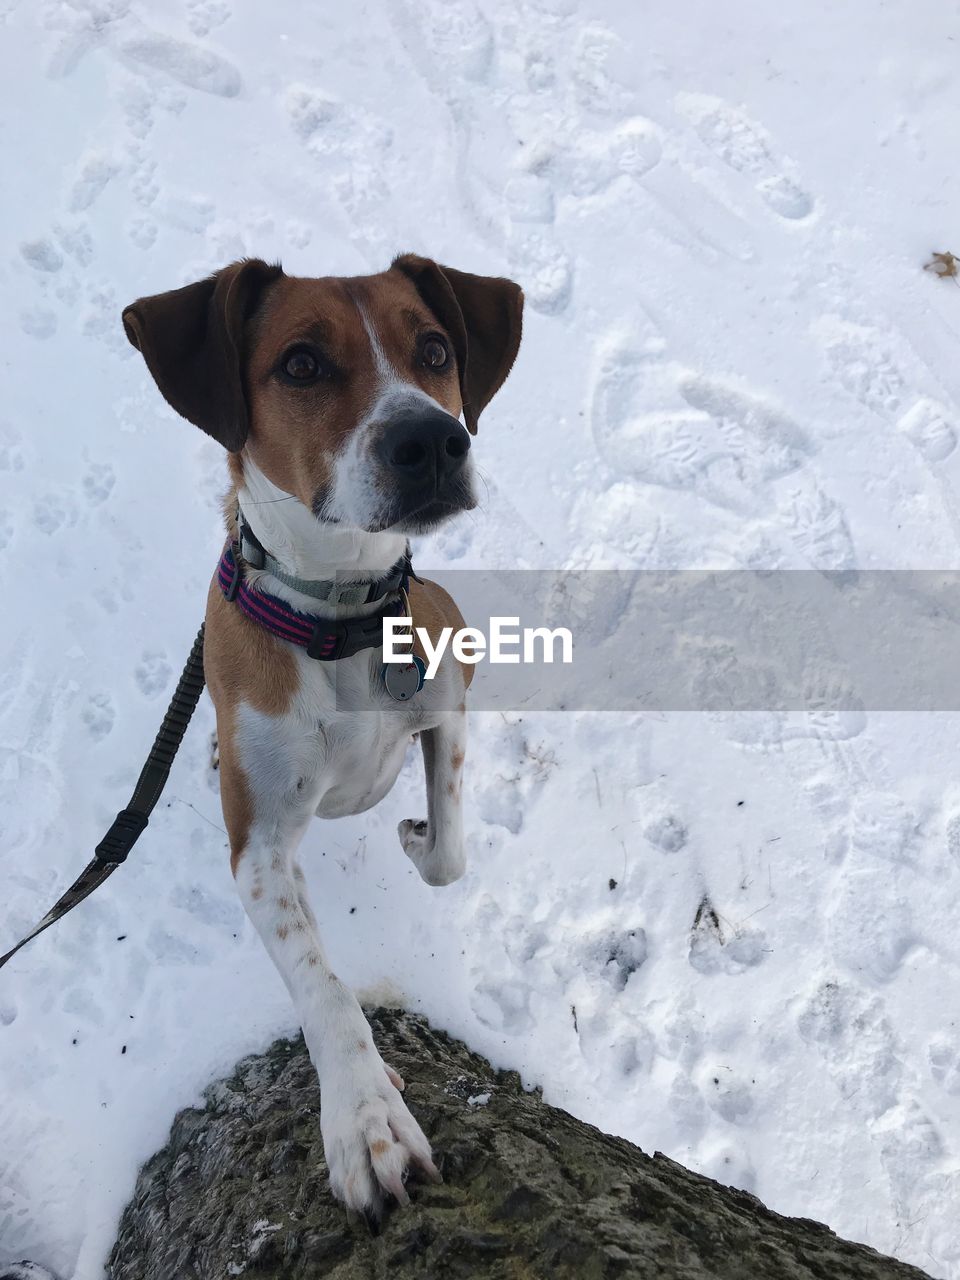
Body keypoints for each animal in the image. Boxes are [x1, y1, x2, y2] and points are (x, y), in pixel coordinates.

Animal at [122, 252, 527, 1218]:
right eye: (300, 364)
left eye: (436, 349)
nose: (434, 442)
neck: (341, 618)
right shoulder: (259, 848)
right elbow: (324, 986)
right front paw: (364, 1118)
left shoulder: (447, 701)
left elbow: (449, 851)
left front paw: (415, 829)